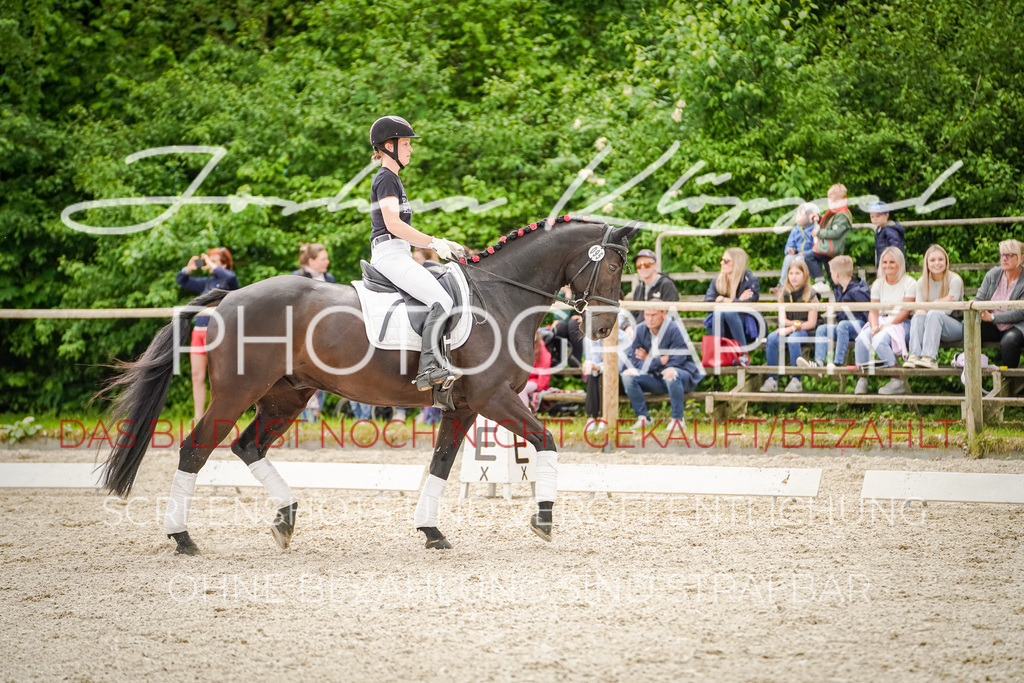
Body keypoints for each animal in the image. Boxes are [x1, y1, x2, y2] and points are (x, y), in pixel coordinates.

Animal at [97, 218, 638, 557]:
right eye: (614, 266)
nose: (604, 328)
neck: (501, 297)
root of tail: (229, 296)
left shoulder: (463, 406)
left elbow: (441, 464)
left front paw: (432, 531)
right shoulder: (493, 398)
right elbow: (546, 442)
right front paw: (543, 521)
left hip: (285, 396)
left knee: (247, 446)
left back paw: (285, 519)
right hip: (237, 394)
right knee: (196, 448)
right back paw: (183, 537)